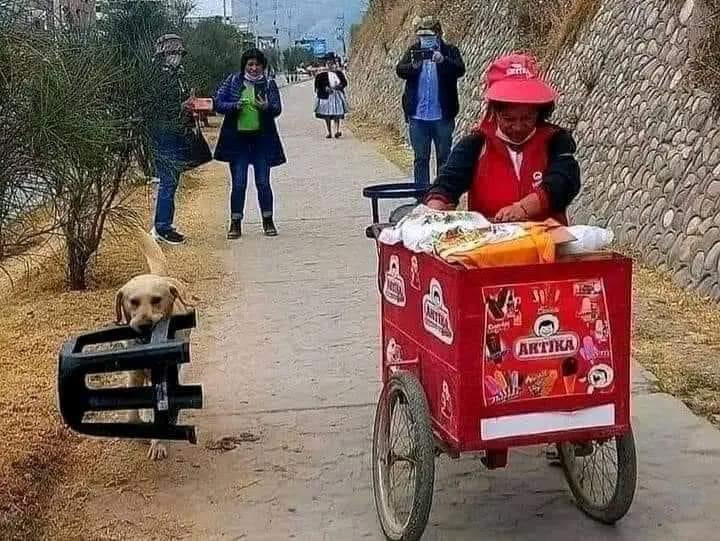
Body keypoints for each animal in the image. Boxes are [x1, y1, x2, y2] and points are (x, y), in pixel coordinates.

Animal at [114, 229, 190, 460]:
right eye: (133, 302)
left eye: (157, 300)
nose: (145, 325)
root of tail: (161, 276)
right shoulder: (134, 374)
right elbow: (131, 415)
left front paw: (158, 443)